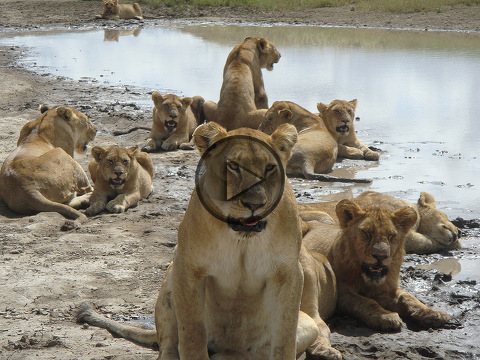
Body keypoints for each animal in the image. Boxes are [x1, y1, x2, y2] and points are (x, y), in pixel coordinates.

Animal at [77, 123, 342, 360]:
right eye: (233, 166)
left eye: (269, 169)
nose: (254, 204)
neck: (241, 238)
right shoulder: (187, 267)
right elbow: (192, 333)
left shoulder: (288, 273)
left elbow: (284, 340)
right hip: (169, 282)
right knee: (169, 344)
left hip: (307, 326)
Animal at [302, 200, 452, 332]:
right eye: (367, 233)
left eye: (391, 235)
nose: (380, 255)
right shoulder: (341, 292)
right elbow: (366, 301)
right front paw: (386, 317)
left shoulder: (385, 289)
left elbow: (408, 297)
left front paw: (432, 313)